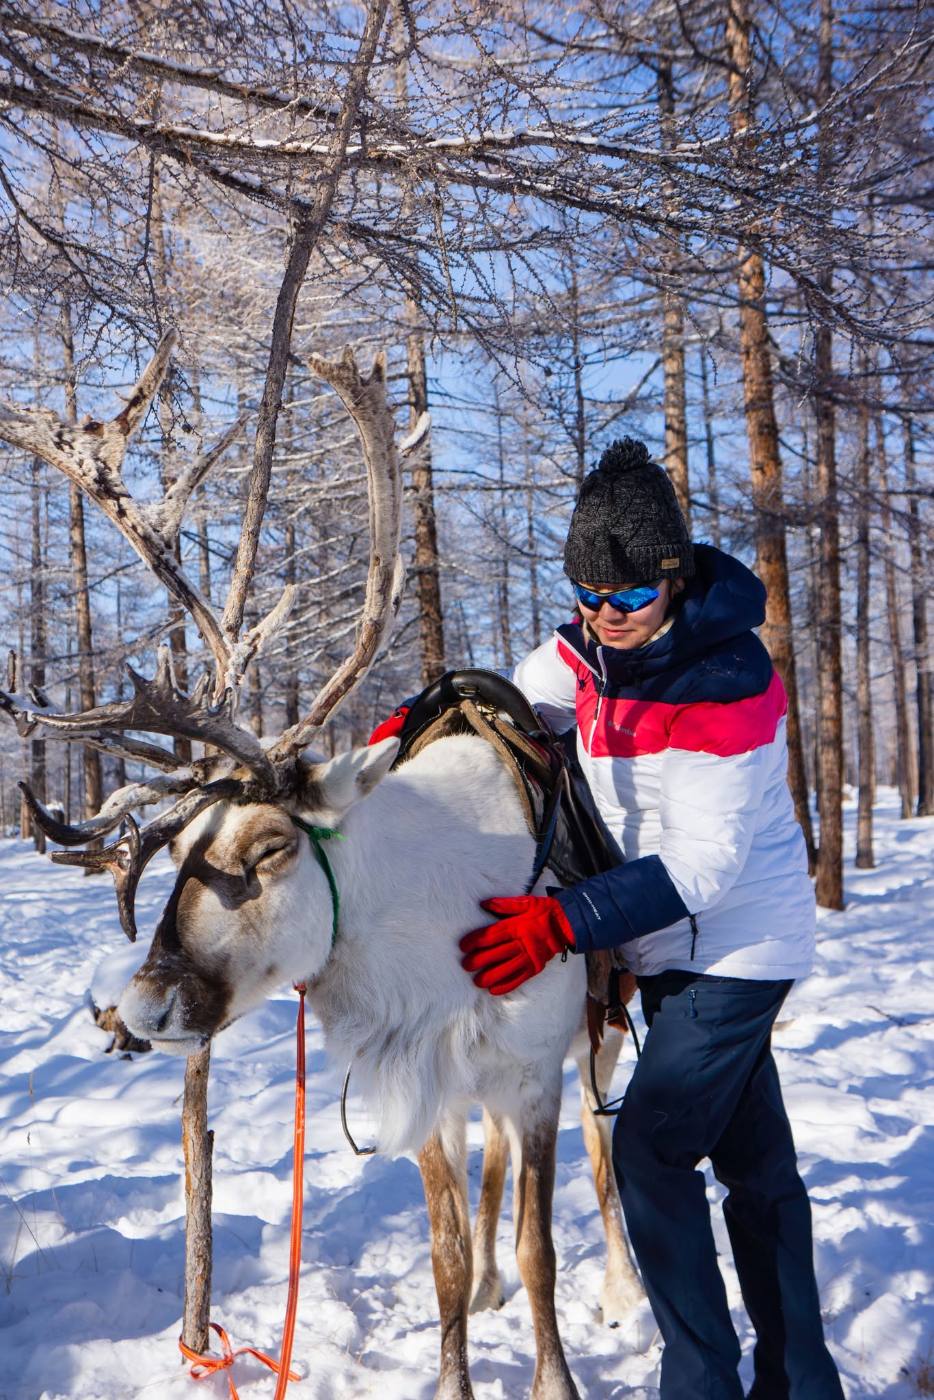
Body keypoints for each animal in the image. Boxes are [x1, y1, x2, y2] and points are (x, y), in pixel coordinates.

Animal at [0, 336, 642, 1400]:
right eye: (176, 854)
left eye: (267, 848)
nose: (137, 1009)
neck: (429, 939)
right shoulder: (424, 1084)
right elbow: (447, 1253)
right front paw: (460, 1352)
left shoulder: (532, 1076)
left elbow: (547, 1243)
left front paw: (556, 1377)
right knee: (494, 1179)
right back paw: (491, 1289)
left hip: (596, 1040)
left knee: (603, 1150)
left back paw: (626, 1291)